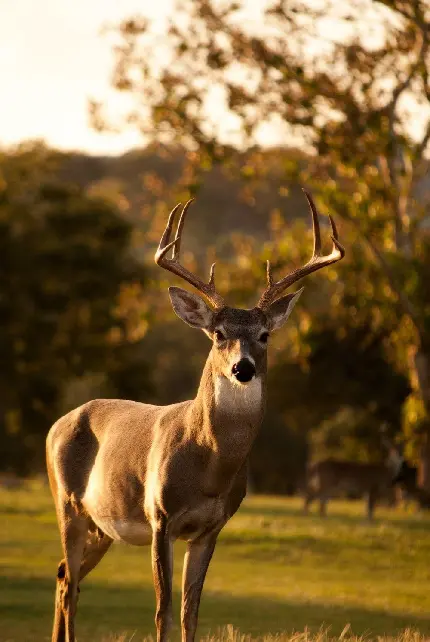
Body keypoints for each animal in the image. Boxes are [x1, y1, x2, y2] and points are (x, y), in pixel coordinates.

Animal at [45, 190, 344, 640]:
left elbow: (191, 612)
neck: (209, 466)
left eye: (264, 335)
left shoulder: (210, 529)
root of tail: (56, 425)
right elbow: (163, 611)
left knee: (66, 576)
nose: (242, 368)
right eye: (218, 334)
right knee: (69, 581)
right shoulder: (160, 518)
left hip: (101, 524)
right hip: (67, 503)